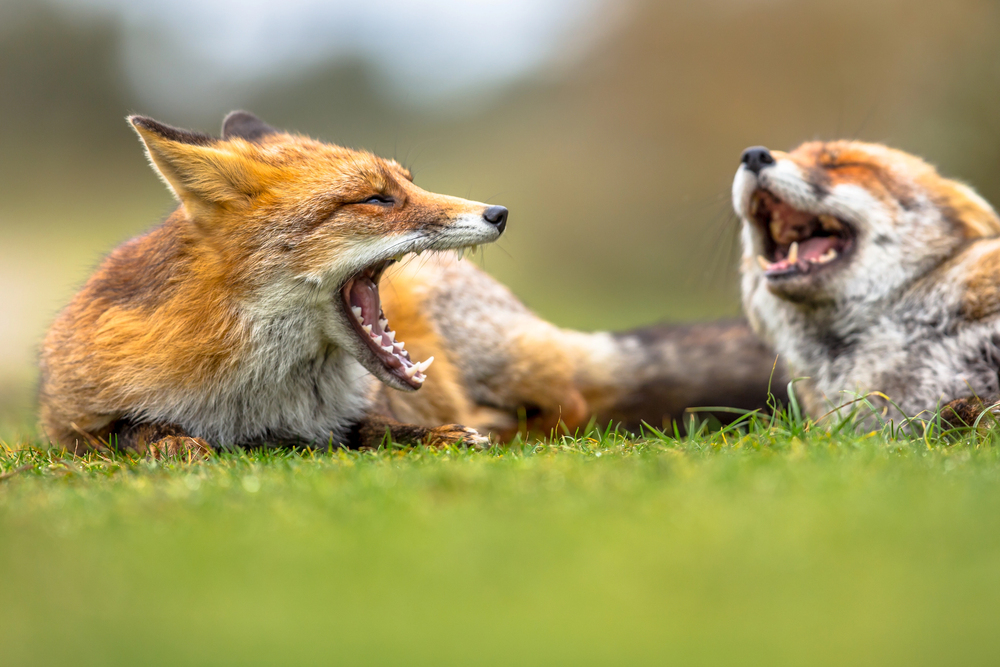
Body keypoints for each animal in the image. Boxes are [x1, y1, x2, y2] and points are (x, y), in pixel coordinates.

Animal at [39, 112, 776, 456]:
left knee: (567, 407)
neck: (259, 397)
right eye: (377, 199)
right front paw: (172, 442)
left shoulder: (355, 413)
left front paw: (444, 437)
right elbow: (127, 433)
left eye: (408, 182)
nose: (499, 212)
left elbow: (378, 430)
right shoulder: (69, 419)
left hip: (507, 359)